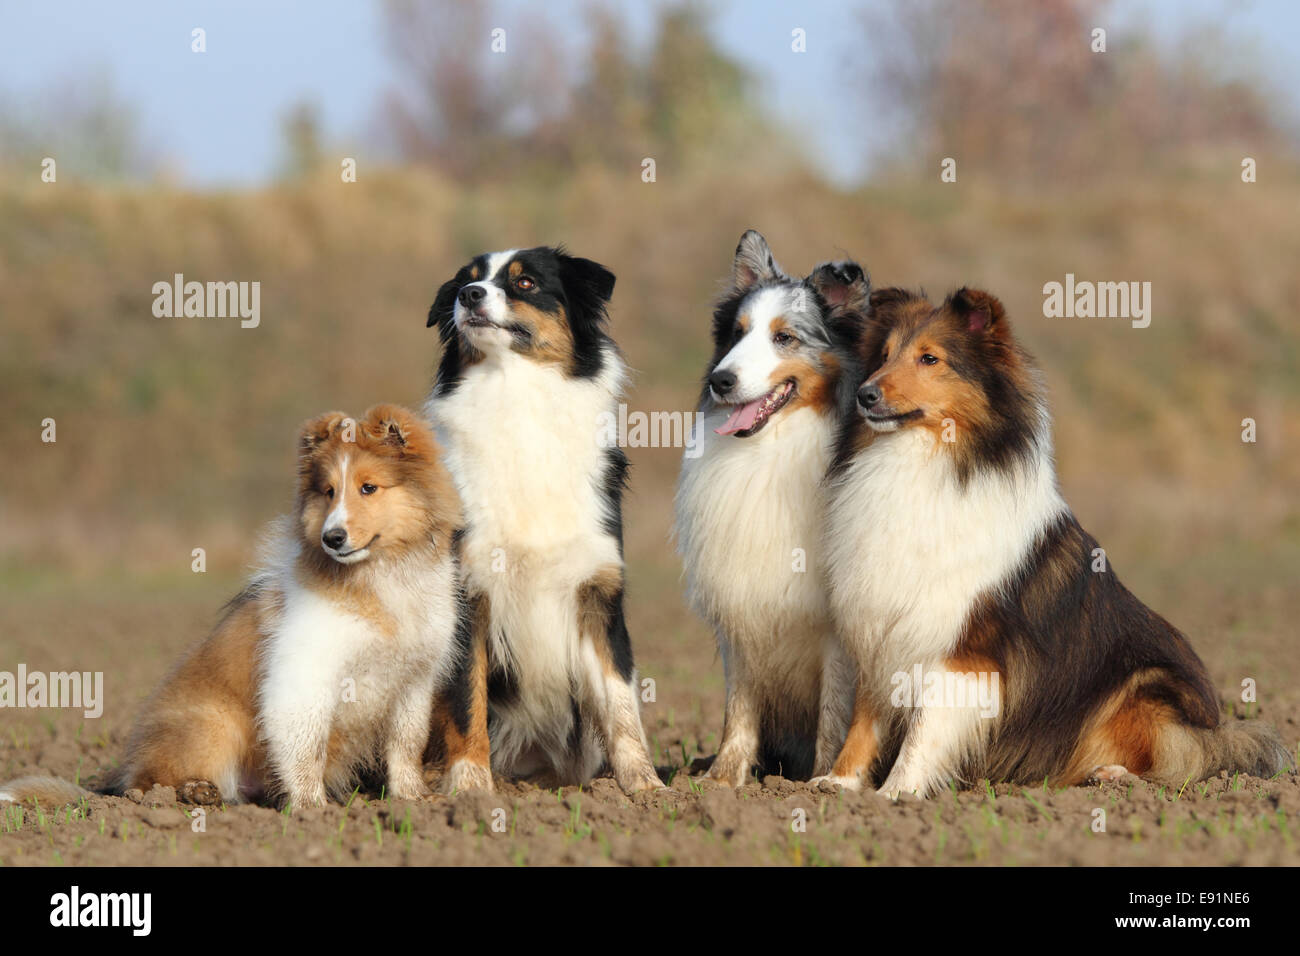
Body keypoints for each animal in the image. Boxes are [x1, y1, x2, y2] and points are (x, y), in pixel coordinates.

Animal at [0, 408, 467, 811]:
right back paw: (193, 793)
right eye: (329, 491)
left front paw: (414, 799)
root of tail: (116, 781)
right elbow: (306, 748)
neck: (382, 578)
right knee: (151, 784)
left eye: (369, 488)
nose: (332, 538)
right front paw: (312, 809)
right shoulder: (306, 678)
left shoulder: (412, 683)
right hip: (211, 726)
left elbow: (406, 745)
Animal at [426, 244, 665, 790]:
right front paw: (469, 785)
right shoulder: (468, 589)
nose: (469, 295)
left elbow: (620, 701)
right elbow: (466, 698)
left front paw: (644, 786)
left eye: (525, 283)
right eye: (469, 280)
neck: (518, 401)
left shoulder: (597, 591)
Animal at [676, 231, 868, 785]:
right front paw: (723, 778)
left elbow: (835, 710)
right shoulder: (740, 607)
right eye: (737, 334)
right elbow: (739, 707)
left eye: (784, 338)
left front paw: (816, 779)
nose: (721, 380)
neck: (772, 449)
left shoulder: (835, 630)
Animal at [816, 290, 1294, 801]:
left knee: (1180, 762)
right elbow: (864, 720)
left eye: (930, 358)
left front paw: (895, 795)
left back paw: (1113, 775)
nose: (866, 395)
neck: (921, 460)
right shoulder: (879, 625)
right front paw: (838, 782)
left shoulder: (964, 647)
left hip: (1143, 686)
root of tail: (1216, 726)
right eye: (883, 356)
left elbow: (925, 729)